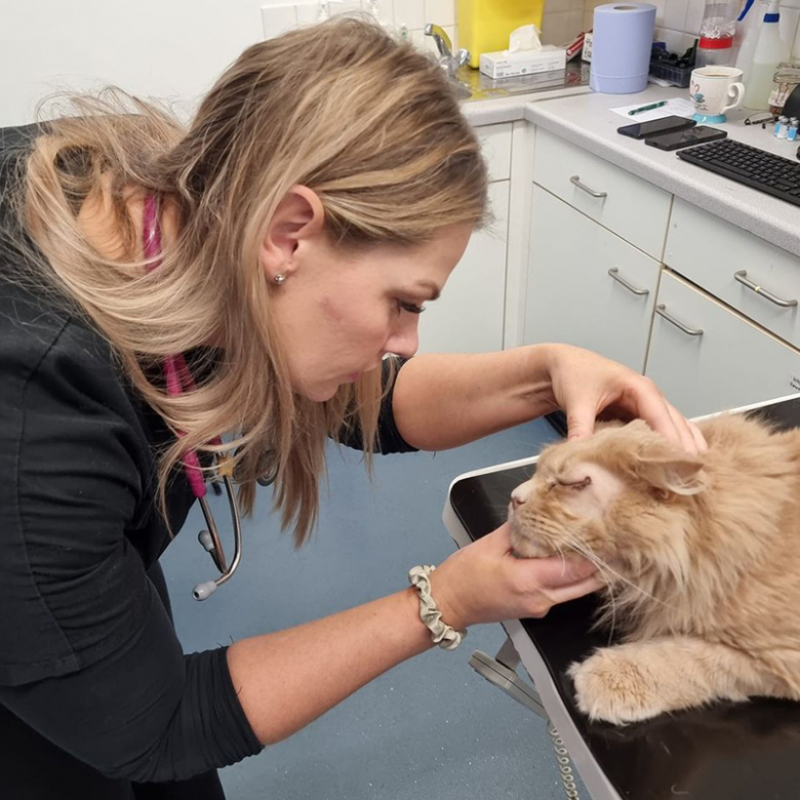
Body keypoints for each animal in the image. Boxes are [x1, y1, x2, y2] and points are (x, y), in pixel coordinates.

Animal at [506, 416, 800, 728]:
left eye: (570, 483)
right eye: (538, 471)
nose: (515, 498)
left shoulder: (779, 657)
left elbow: (686, 659)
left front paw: (606, 678)